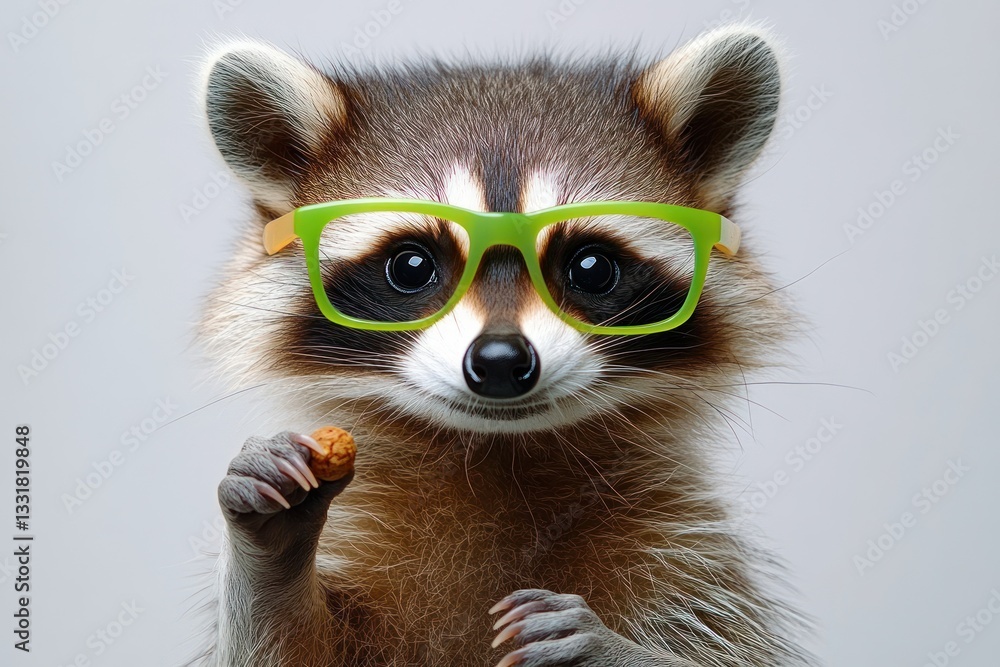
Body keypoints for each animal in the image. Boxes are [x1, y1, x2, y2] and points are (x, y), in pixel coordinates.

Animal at [194, 22, 813, 667]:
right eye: (411, 266)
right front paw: (269, 547)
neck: (497, 454)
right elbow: (285, 649)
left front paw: (604, 645)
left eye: (591, 267)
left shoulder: (692, 565)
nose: (498, 360)